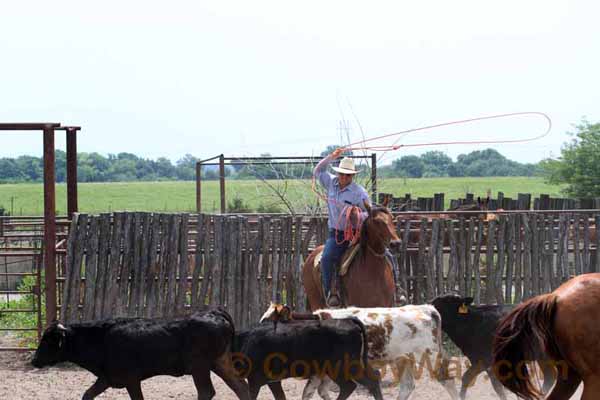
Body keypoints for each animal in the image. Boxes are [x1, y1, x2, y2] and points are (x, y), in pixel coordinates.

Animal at [29, 308, 251, 398]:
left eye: (47, 341)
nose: (34, 360)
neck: (102, 338)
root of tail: (214, 312)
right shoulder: (107, 378)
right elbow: (87, 395)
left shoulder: (131, 380)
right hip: (219, 363)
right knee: (240, 387)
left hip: (200, 367)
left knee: (207, 392)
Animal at [232, 318, 382, 398]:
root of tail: (348, 320)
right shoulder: (273, 381)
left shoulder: (254, 380)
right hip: (355, 364)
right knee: (373, 379)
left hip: (342, 367)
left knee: (350, 386)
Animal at [260, 304, 462, 400]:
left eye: (270, 320)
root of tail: (425, 308)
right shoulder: (322, 371)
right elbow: (314, 391)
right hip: (403, 360)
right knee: (407, 387)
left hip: (429, 355)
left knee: (447, 380)